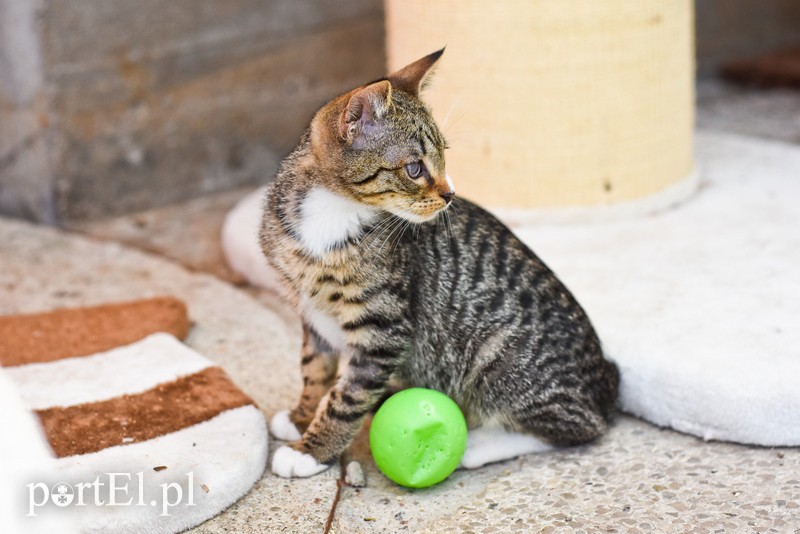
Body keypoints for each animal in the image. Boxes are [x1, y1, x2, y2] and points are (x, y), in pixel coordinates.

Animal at [260, 49, 620, 478]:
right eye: (414, 168)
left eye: (444, 156)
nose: (450, 195)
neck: (331, 214)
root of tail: (603, 381)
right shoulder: (311, 313)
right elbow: (314, 368)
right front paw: (301, 416)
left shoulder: (384, 327)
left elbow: (349, 397)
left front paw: (312, 449)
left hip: (497, 357)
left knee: (579, 427)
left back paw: (478, 445)